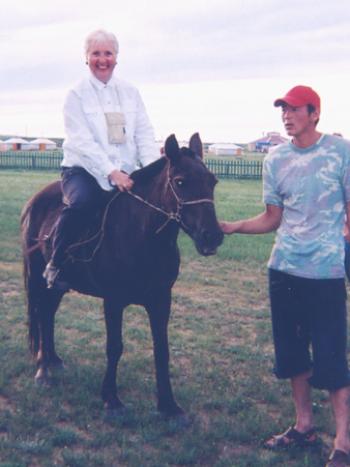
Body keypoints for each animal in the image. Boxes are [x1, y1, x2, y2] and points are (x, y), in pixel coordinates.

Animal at [21, 133, 224, 420]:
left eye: (212, 181)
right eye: (180, 181)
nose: (212, 236)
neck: (142, 235)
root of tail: (34, 203)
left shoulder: (161, 300)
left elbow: (162, 350)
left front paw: (168, 405)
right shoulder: (113, 301)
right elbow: (114, 347)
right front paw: (111, 399)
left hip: (58, 287)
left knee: (48, 314)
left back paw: (54, 360)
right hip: (38, 281)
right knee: (40, 314)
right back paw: (43, 369)